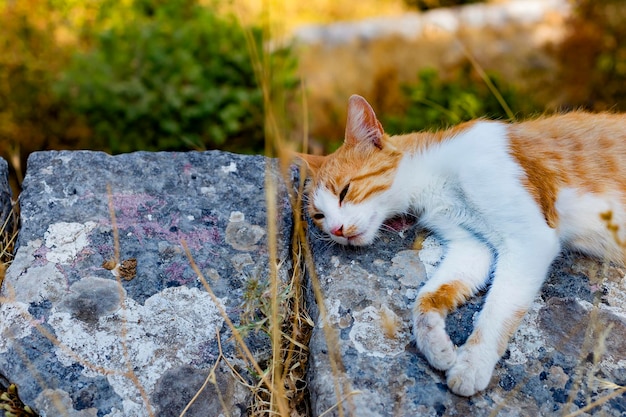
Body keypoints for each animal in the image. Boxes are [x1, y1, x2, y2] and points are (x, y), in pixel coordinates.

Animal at [294, 94, 624, 396]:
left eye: (345, 191)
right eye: (319, 216)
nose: (336, 230)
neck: (432, 180)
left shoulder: (529, 238)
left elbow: (497, 310)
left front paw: (472, 365)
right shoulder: (472, 246)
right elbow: (426, 298)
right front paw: (436, 345)